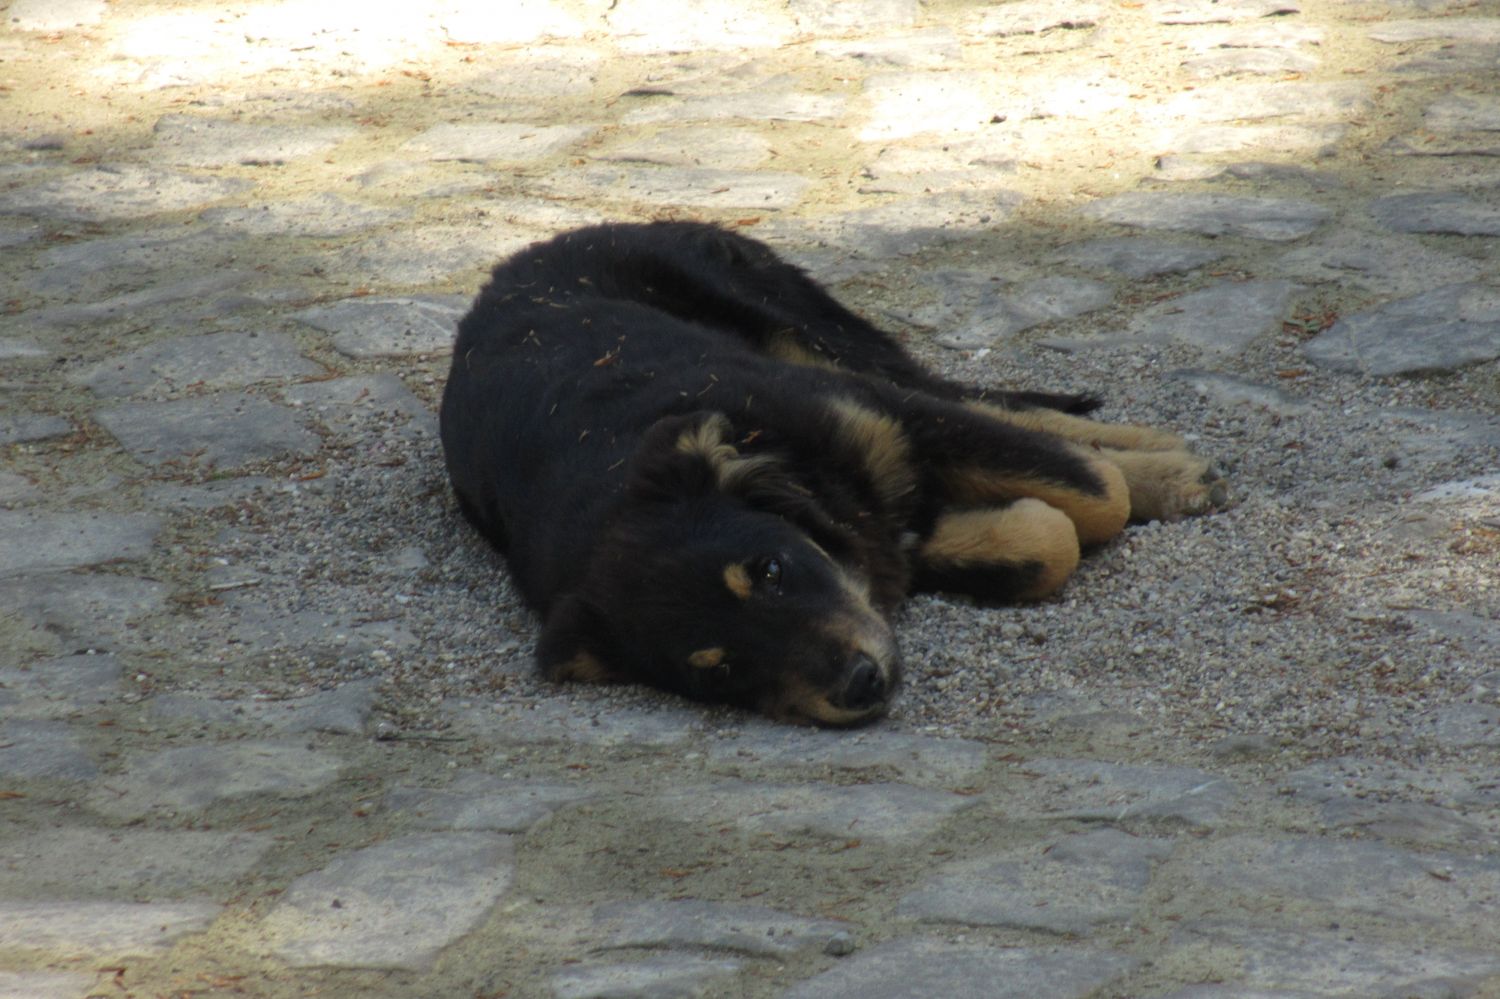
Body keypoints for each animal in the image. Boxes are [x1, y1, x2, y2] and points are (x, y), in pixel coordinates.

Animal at [438, 222, 1230, 723]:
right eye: (716, 669)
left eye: (770, 570)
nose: (860, 685)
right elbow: (1038, 540)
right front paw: (997, 528)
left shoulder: (876, 414)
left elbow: (1097, 494)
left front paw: (1144, 478)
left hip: (813, 335)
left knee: (978, 397)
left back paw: (1166, 460)